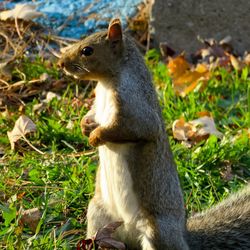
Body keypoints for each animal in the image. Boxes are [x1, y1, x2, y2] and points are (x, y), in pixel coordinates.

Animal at [58, 18, 250, 249]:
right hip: (97, 213)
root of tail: (184, 238)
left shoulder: (135, 106)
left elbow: (132, 129)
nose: (61, 64)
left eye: (87, 50)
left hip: (156, 232)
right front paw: (85, 126)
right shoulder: (100, 107)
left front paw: (96, 136)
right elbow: (93, 115)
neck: (106, 83)